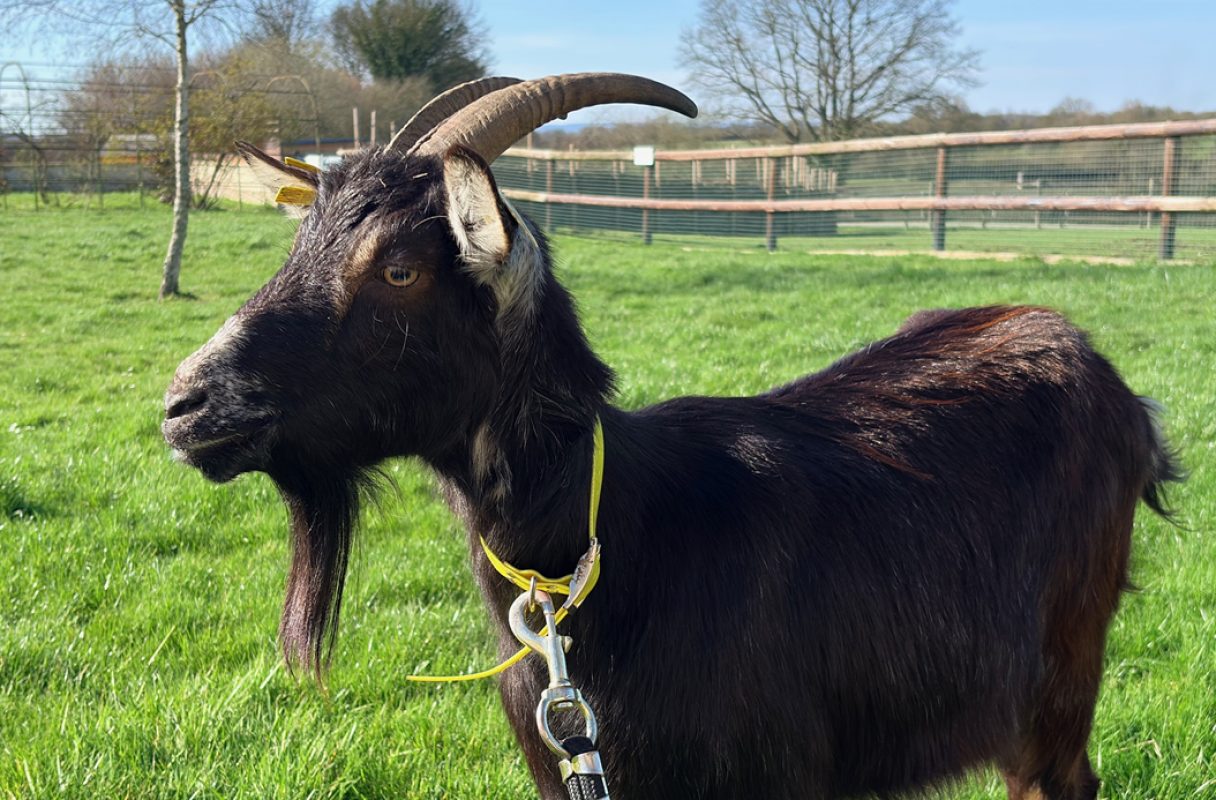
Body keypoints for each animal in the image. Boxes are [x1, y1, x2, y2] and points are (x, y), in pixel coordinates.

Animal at [162, 73, 1179, 800]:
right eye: (300, 248)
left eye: (401, 269)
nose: (185, 406)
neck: (607, 544)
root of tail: (1107, 376)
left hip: (1061, 673)